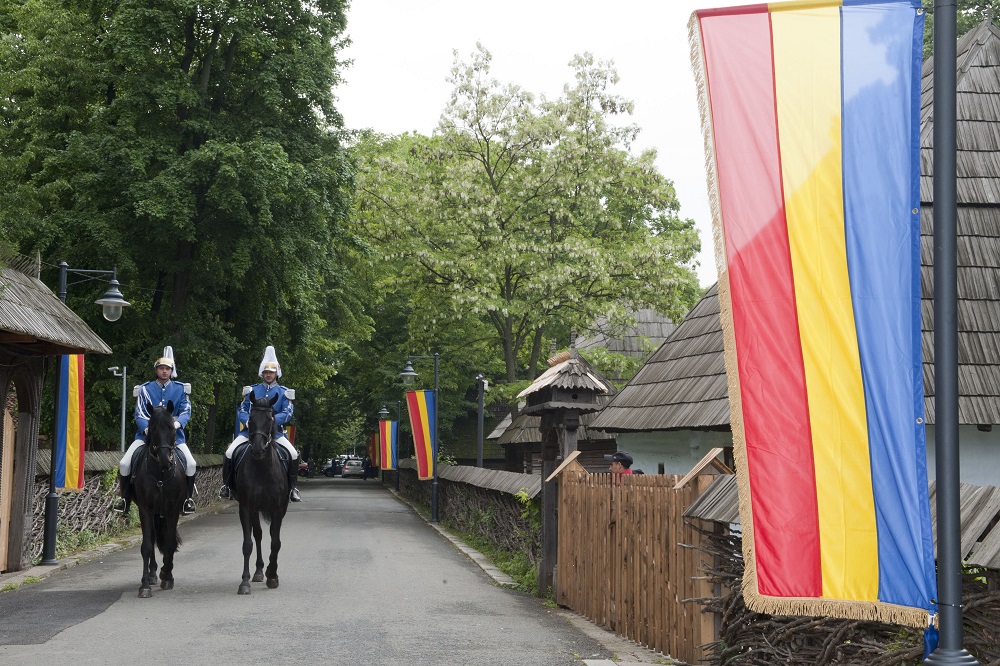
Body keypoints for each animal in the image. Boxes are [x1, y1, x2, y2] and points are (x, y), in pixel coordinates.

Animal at [131, 400, 186, 596]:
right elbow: (147, 546)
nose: (165, 461)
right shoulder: (145, 510)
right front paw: (145, 585)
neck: (160, 475)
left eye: (171, 427)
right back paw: (152, 574)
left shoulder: (173, 511)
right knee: (153, 537)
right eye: (153, 428)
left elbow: (170, 543)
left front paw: (167, 576)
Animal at [235, 394, 292, 592]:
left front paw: (273, 575)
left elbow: (276, 542)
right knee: (258, 535)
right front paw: (244, 582)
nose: (258, 450)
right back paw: (259, 571)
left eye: (270, 419)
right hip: (254, 510)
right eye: (251, 419)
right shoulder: (246, 507)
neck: (262, 468)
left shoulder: (278, 509)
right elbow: (247, 544)